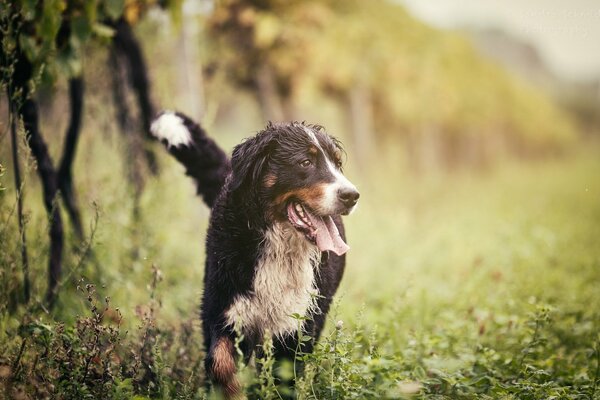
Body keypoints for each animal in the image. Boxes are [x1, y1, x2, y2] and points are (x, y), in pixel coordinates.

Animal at [150, 111, 358, 396]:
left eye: (337, 164)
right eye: (305, 162)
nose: (352, 195)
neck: (278, 245)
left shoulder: (294, 328)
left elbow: (284, 380)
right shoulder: (225, 310)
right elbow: (221, 363)